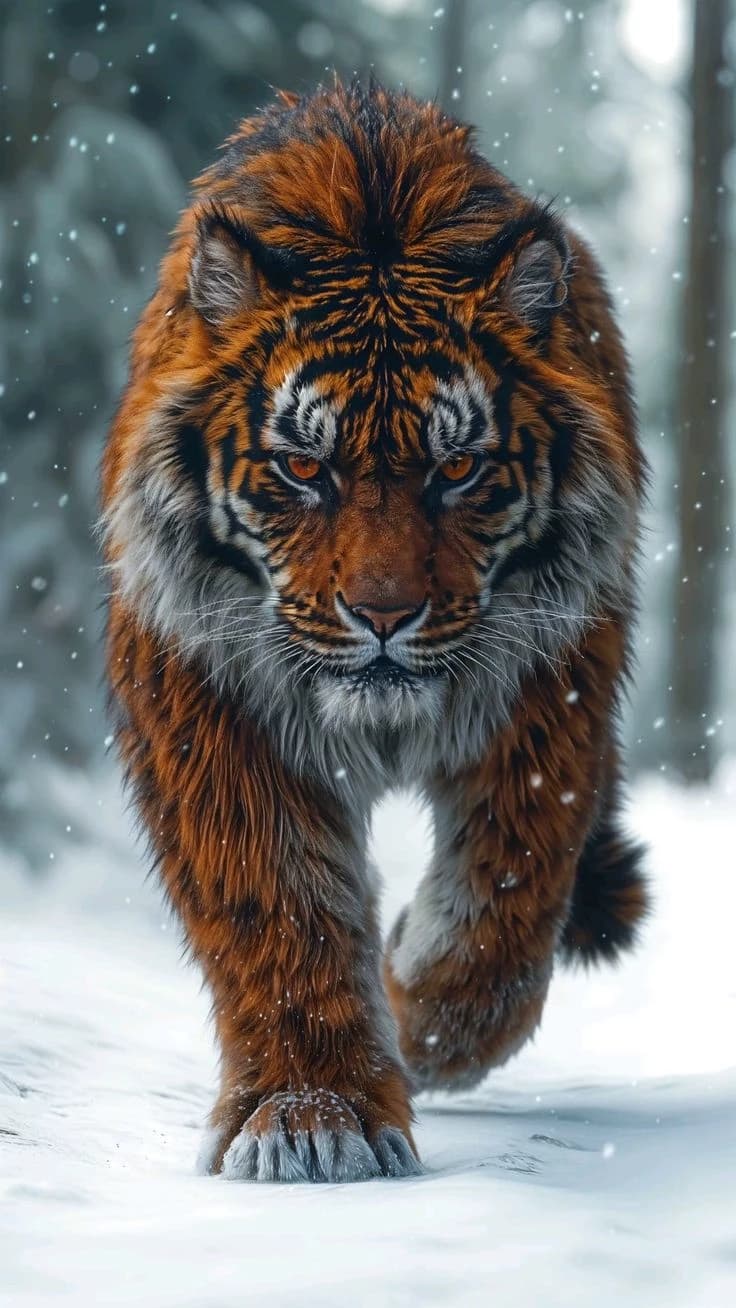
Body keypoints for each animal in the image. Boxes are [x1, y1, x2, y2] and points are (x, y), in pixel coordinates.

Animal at [102, 80, 648, 1184]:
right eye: (304, 469)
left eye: (458, 469)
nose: (385, 614)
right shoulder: (212, 705)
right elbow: (277, 911)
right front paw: (313, 1117)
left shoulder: (549, 693)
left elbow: (504, 906)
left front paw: (419, 1019)